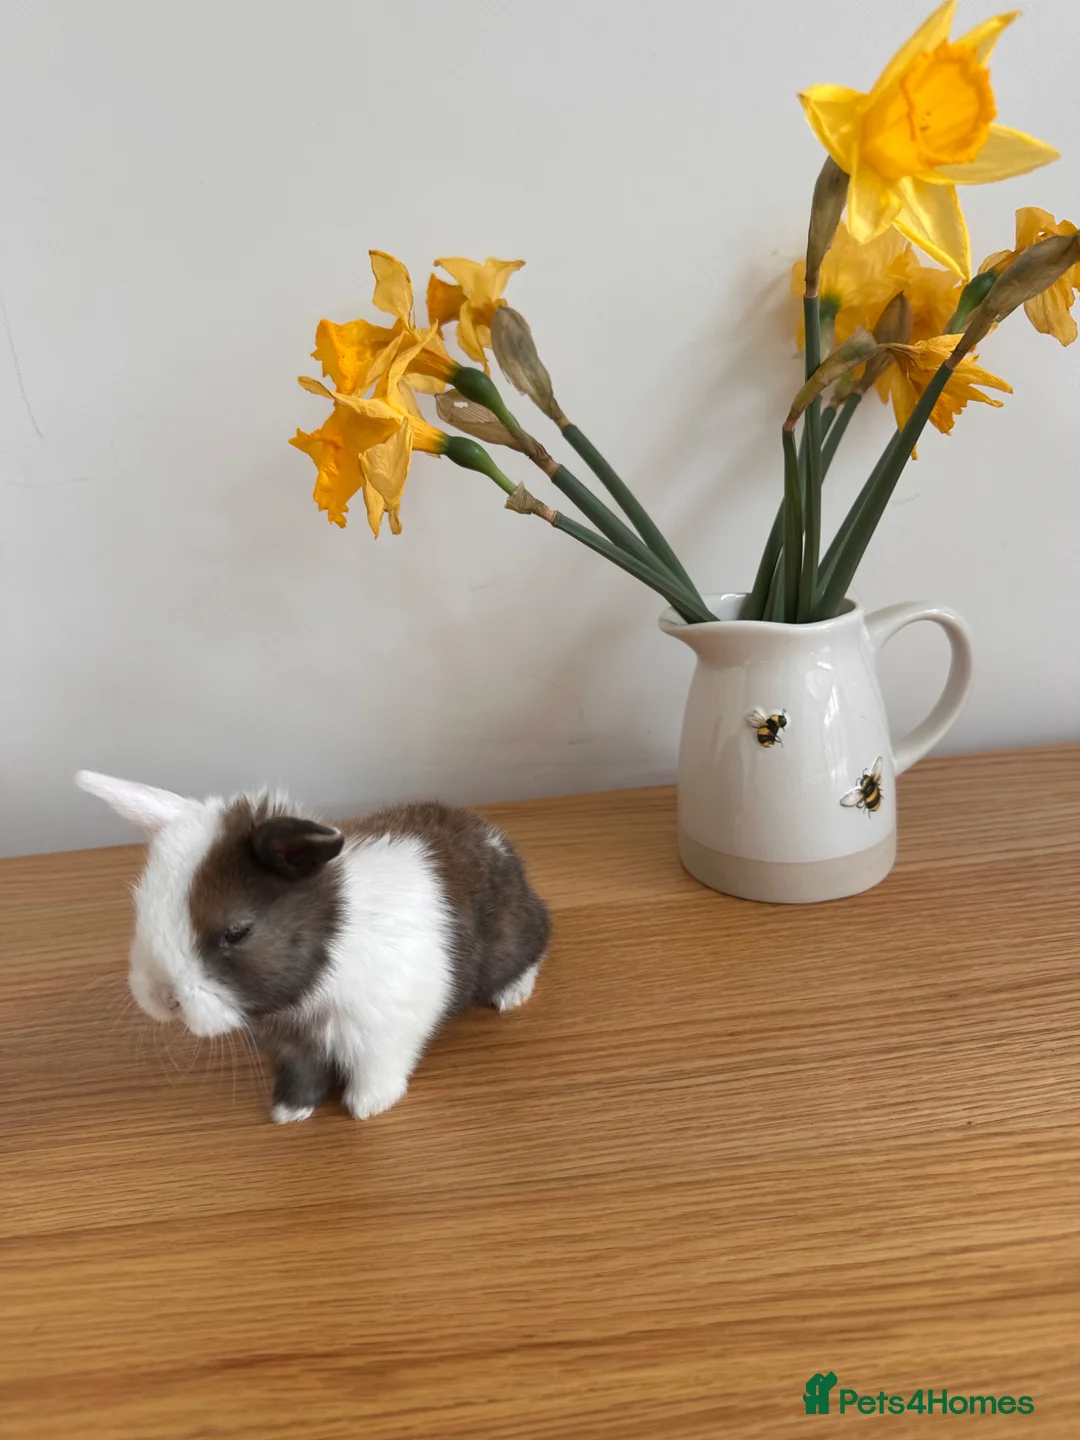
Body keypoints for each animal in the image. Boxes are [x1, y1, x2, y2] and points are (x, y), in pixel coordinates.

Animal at [75, 771, 550, 1123]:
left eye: (238, 931)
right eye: (140, 906)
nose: (163, 997)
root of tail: (492, 836)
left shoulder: (384, 1031)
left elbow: (378, 1070)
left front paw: (366, 1107)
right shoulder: (291, 1047)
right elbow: (301, 1076)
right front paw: (289, 1111)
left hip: (513, 938)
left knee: (538, 941)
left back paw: (512, 994)